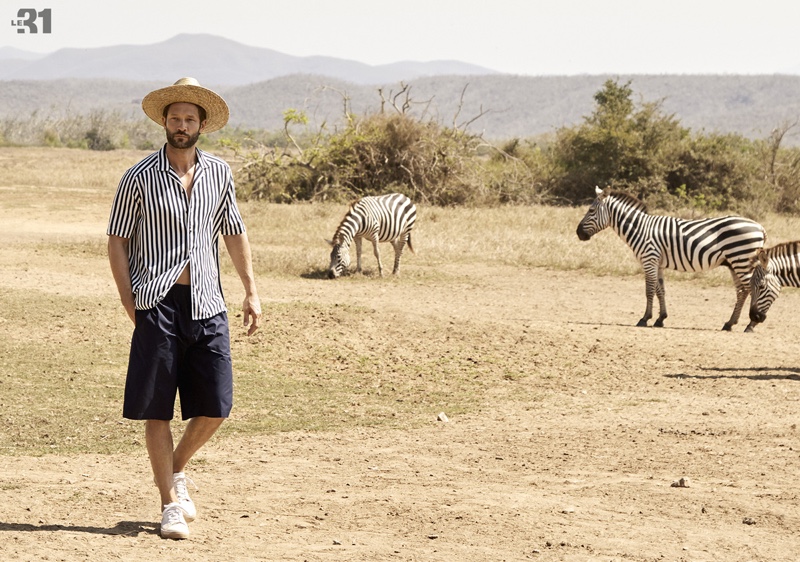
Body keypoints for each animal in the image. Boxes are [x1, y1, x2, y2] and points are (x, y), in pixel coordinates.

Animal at [576, 186, 768, 330]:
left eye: (591, 210)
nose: (578, 233)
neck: (640, 229)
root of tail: (759, 227)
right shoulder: (658, 263)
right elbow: (660, 290)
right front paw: (660, 319)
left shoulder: (649, 259)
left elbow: (649, 290)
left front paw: (645, 318)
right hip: (734, 262)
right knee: (742, 291)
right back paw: (730, 323)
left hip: (741, 259)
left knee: (753, 287)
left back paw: (751, 324)